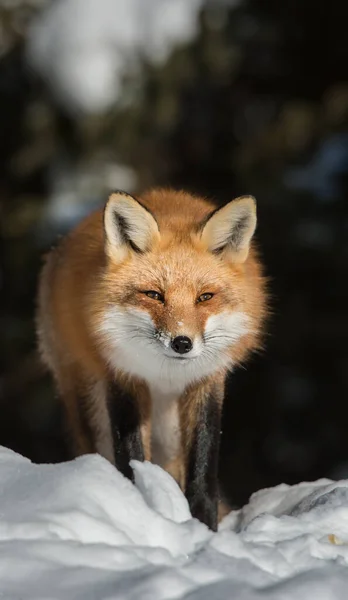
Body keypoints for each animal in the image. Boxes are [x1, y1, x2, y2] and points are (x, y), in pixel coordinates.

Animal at [36, 188, 266, 528]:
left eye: (205, 297)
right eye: (154, 295)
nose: (182, 343)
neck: (165, 375)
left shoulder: (206, 383)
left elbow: (203, 465)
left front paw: (203, 526)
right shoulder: (122, 378)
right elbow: (131, 456)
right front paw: (142, 510)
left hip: (169, 433)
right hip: (87, 398)